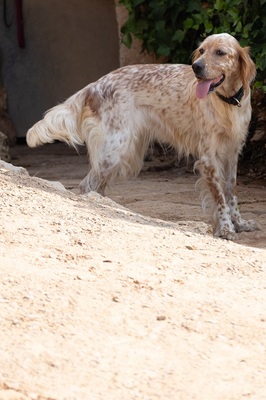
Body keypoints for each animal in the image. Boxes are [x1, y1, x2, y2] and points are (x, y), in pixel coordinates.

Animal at [26, 32, 260, 239]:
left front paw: (239, 223)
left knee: (96, 186)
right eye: (201, 51)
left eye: (220, 52)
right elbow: (219, 197)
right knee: (87, 185)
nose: (197, 67)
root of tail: (95, 85)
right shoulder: (208, 158)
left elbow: (231, 193)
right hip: (117, 149)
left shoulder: (232, 153)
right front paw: (226, 228)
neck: (227, 103)